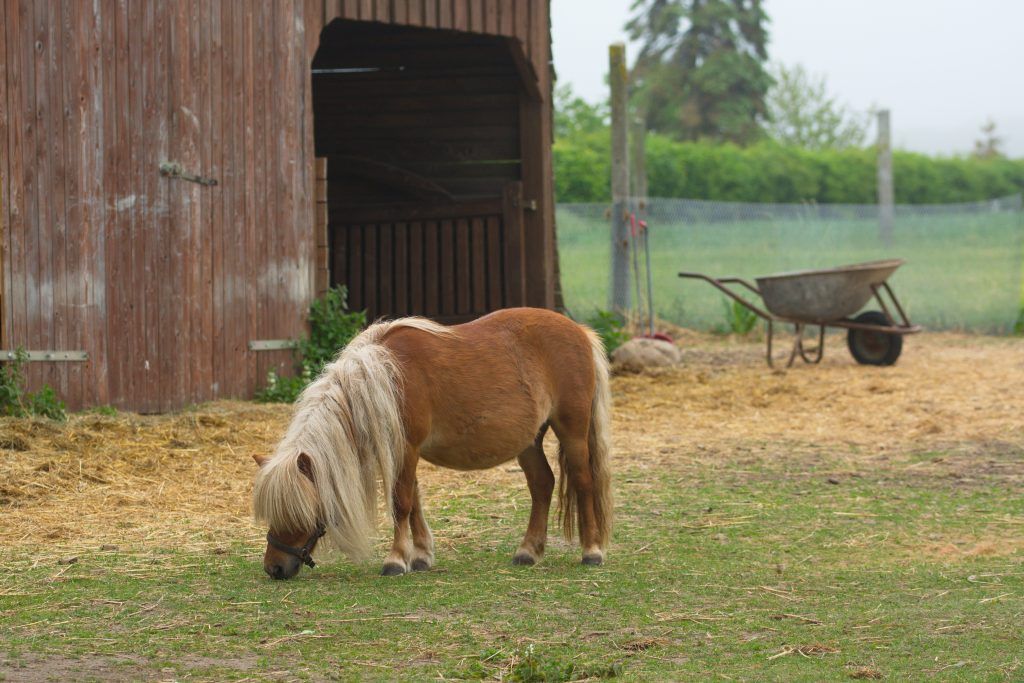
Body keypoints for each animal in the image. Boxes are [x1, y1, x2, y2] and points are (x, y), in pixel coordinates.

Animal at [251, 307, 610, 581]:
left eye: (298, 510)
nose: (274, 568)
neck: (385, 377)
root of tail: (579, 331)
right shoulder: (403, 452)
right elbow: (415, 503)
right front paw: (421, 555)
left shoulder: (406, 450)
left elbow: (401, 503)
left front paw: (396, 560)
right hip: (529, 441)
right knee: (542, 484)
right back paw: (528, 551)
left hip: (572, 431)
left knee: (583, 482)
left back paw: (592, 551)